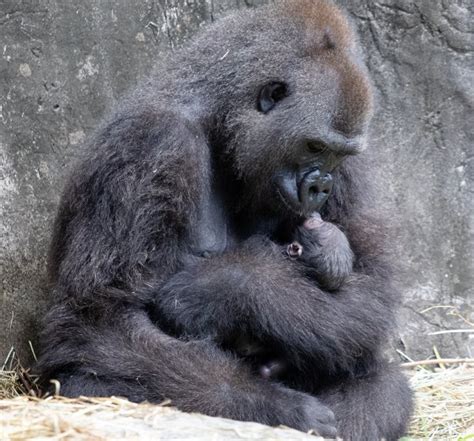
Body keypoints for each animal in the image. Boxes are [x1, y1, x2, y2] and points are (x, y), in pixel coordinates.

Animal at [38, 0, 412, 436]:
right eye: (314, 146)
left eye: (338, 155)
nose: (321, 186)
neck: (219, 120)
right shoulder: (151, 143)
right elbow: (98, 319)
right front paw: (276, 405)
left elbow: (372, 286)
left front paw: (227, 286)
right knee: (88, 379)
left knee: (384, 383)